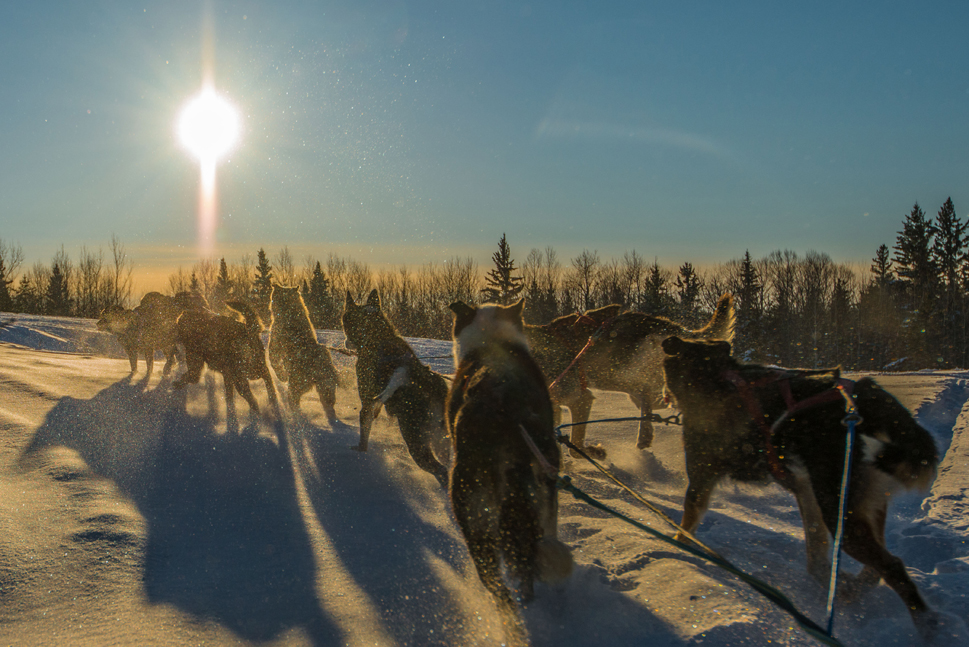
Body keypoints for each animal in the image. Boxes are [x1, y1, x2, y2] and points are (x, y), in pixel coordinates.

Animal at [172, 300, 280, 430]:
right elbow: (229, 396)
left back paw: (256, 418)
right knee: (269, 387)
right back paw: (273, 406)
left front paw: (178, 383)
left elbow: (189, 377)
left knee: (254, 401)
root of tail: (247, 332)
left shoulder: (196, 367)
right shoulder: (227, 376)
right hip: (256, 371)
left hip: (242, 380)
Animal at [266, 284, 338, 420]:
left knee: (293, 400)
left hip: (296, 383)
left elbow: (274, 362)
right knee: (328, 402)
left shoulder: (275, 344)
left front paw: (282, 376)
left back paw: (295, 415)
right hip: (326, 385)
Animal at [342, 292, 452, 488]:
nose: (345, 342)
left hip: (416, 442)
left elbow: (364, 430)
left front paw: (360, 451)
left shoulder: (367, 401)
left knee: (440, 470)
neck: (377, 336)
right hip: (441, 441)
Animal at [660, 336, 940, 640]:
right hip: (860, 503)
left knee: (892, 567)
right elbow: (816, 558)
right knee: (877, 568)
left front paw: (676, 548)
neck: (714, 374)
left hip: (839, 512)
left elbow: (686, 526)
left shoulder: (701, 479)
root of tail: (869, 394)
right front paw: (836, 583)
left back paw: (928, 626)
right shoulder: (804, 491)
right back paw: (853, 589)